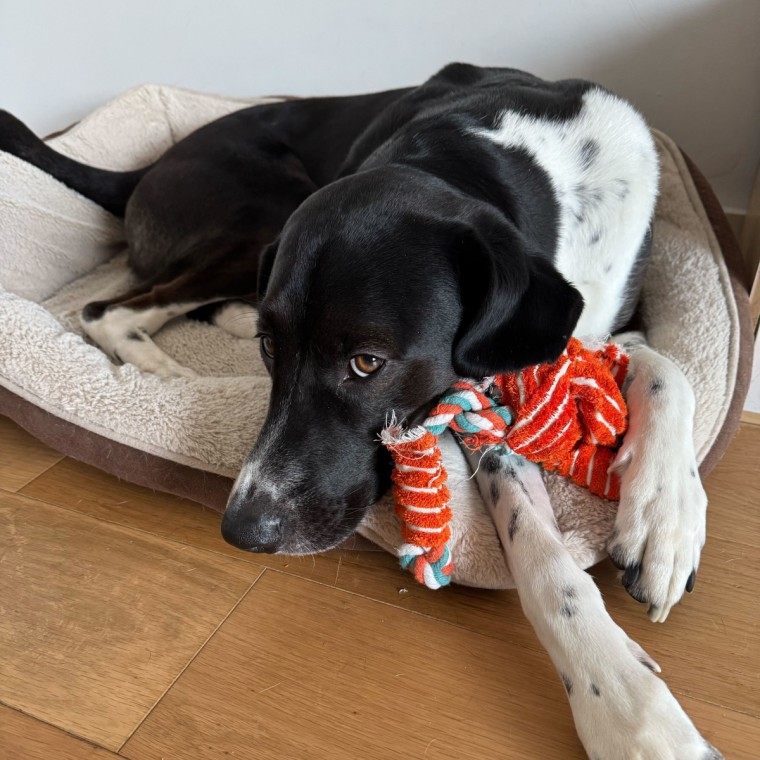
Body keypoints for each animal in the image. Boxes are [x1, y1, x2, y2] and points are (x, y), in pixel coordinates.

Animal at [0, 63, 720, 756]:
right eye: (272, 348)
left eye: (368, 362)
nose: (243, 530)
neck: (479, 157)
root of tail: (142, 170)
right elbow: (544, 559)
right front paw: (631, 711)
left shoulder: (597, 333)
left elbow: (669, 370)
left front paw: (664, 518)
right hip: (254, 214)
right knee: (107, 308)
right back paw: (164, 369)